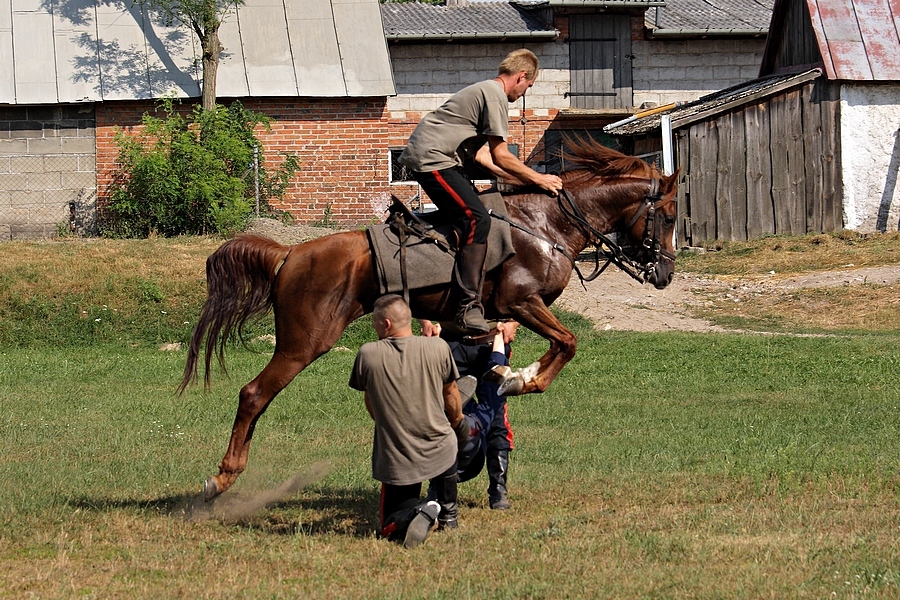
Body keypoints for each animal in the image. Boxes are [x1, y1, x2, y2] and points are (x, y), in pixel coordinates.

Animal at [181, 138, 676, 500]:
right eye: (669, 216)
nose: (666, 274)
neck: (545, 224)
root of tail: (289, 253)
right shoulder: (522, 303)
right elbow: (567, 341)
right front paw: (522, 379)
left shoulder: (499, 316)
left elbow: (528, 352)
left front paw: (509, 376)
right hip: (303, 343)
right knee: (253, 395)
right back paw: (222, 477)